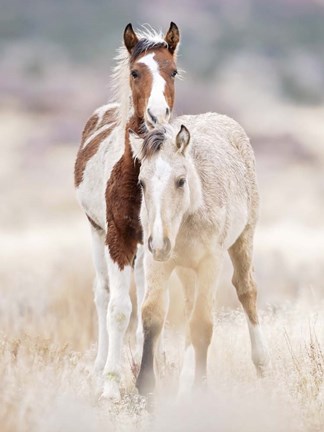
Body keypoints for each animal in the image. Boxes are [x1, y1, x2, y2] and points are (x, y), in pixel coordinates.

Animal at [74, 22, 180, 398]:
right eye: (136, 72)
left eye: (173, 71)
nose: (157, 116)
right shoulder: (117, 238)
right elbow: (118, 309)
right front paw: (111, 384)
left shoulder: (156, 243)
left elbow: (153, 307)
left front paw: (154, 376)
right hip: (96, 234)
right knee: (102, 295)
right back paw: (99, 368)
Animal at [130, 113, 270, 396]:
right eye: (142, 182)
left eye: (181, 181)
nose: (159, 242)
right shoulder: (157, 263)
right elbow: (152, 316)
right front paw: (146, 388)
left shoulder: (210, 263)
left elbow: (202, 324)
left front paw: (200, 389)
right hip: (185, 269)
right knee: (188, 308)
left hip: (244, 238)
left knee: (246, 290)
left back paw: (261, 363)